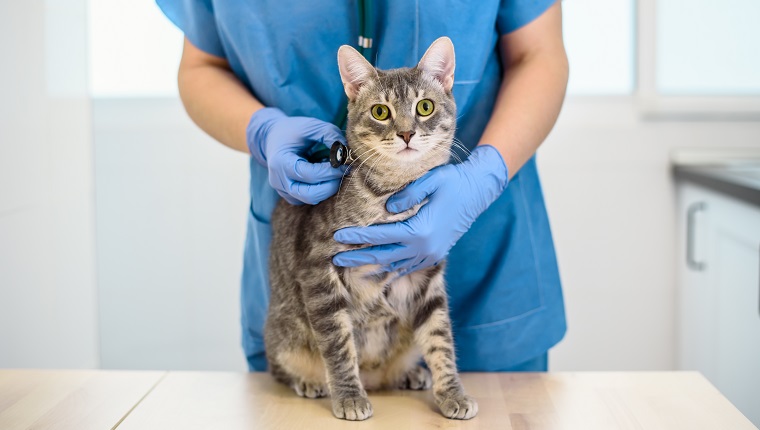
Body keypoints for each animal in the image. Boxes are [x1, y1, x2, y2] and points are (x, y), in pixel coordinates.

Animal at [262, 36, 476, 420]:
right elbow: (338, 345)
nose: (406, 132)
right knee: (279, 366)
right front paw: (349, 396)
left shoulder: (428, 273)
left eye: (424, 107)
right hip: (284, 336)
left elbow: (440, 340)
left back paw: (409, 373)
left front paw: (452, 392)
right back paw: (310, 382)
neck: (394, 192)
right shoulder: (319, 272)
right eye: (380, 112)